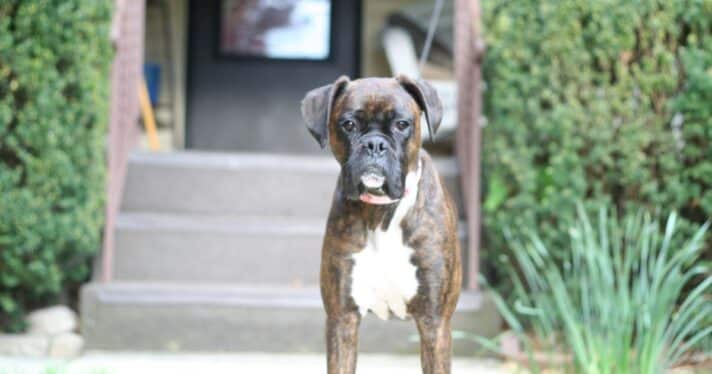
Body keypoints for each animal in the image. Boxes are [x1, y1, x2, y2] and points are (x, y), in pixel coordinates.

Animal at [300, 76, 462, 374]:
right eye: (348, 124)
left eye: (402, 124)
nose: (375, 143)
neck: (380, 213)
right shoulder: (342, 318)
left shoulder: (434, 323)